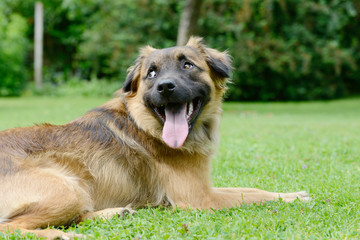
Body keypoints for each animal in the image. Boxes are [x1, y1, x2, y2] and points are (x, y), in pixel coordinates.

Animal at [0, 37, 310, 238]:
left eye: (188, 66)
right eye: (151, 73)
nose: (165, 87)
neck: (145, 124)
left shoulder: (204, 188)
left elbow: (249, 188)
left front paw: (291, 193)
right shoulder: (200, 198)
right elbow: (254, 194)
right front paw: (292, 197)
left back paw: (113, 213)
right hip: (67, 188)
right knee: (11, 227)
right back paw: (62, 235)